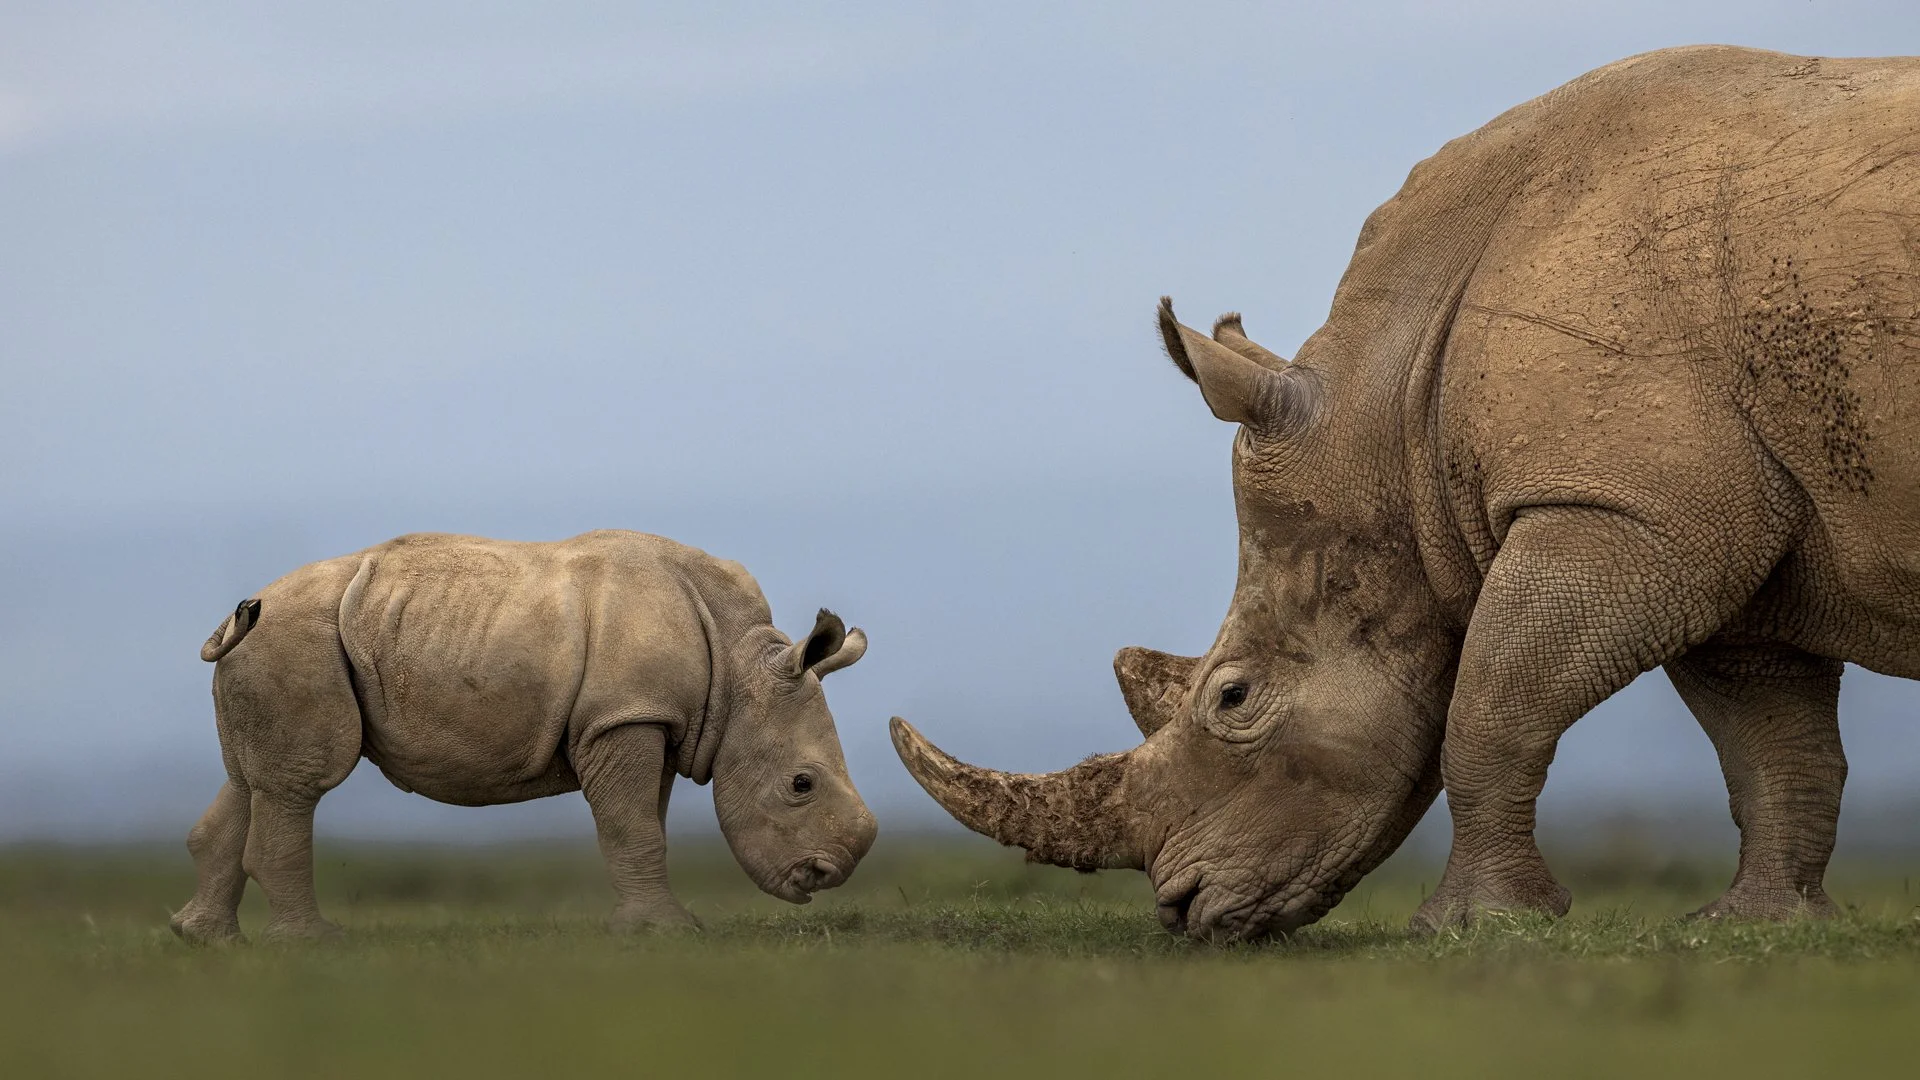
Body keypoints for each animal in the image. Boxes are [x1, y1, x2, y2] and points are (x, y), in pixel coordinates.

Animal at [170, 530, 877, 942]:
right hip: (296, 639)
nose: (824, 875)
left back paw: (204, 939)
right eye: (801, 784)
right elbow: (633, 827)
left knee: (250, 780)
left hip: (273, 643)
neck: (740, 668)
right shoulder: (624, 715)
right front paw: (665, 932)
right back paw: (312, 943)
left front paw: (650, 924)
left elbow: (647, 822)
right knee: (301, 781)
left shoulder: (649, 716)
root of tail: (237, 617)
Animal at [892, 45, 1920, 940]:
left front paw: (1473, 925)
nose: (1181, 912)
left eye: (1233, 698)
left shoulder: (1621, 512)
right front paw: (1762, 925)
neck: (1392, 423)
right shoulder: (1720, 525)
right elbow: (1773, 744)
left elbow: (1491, 706)